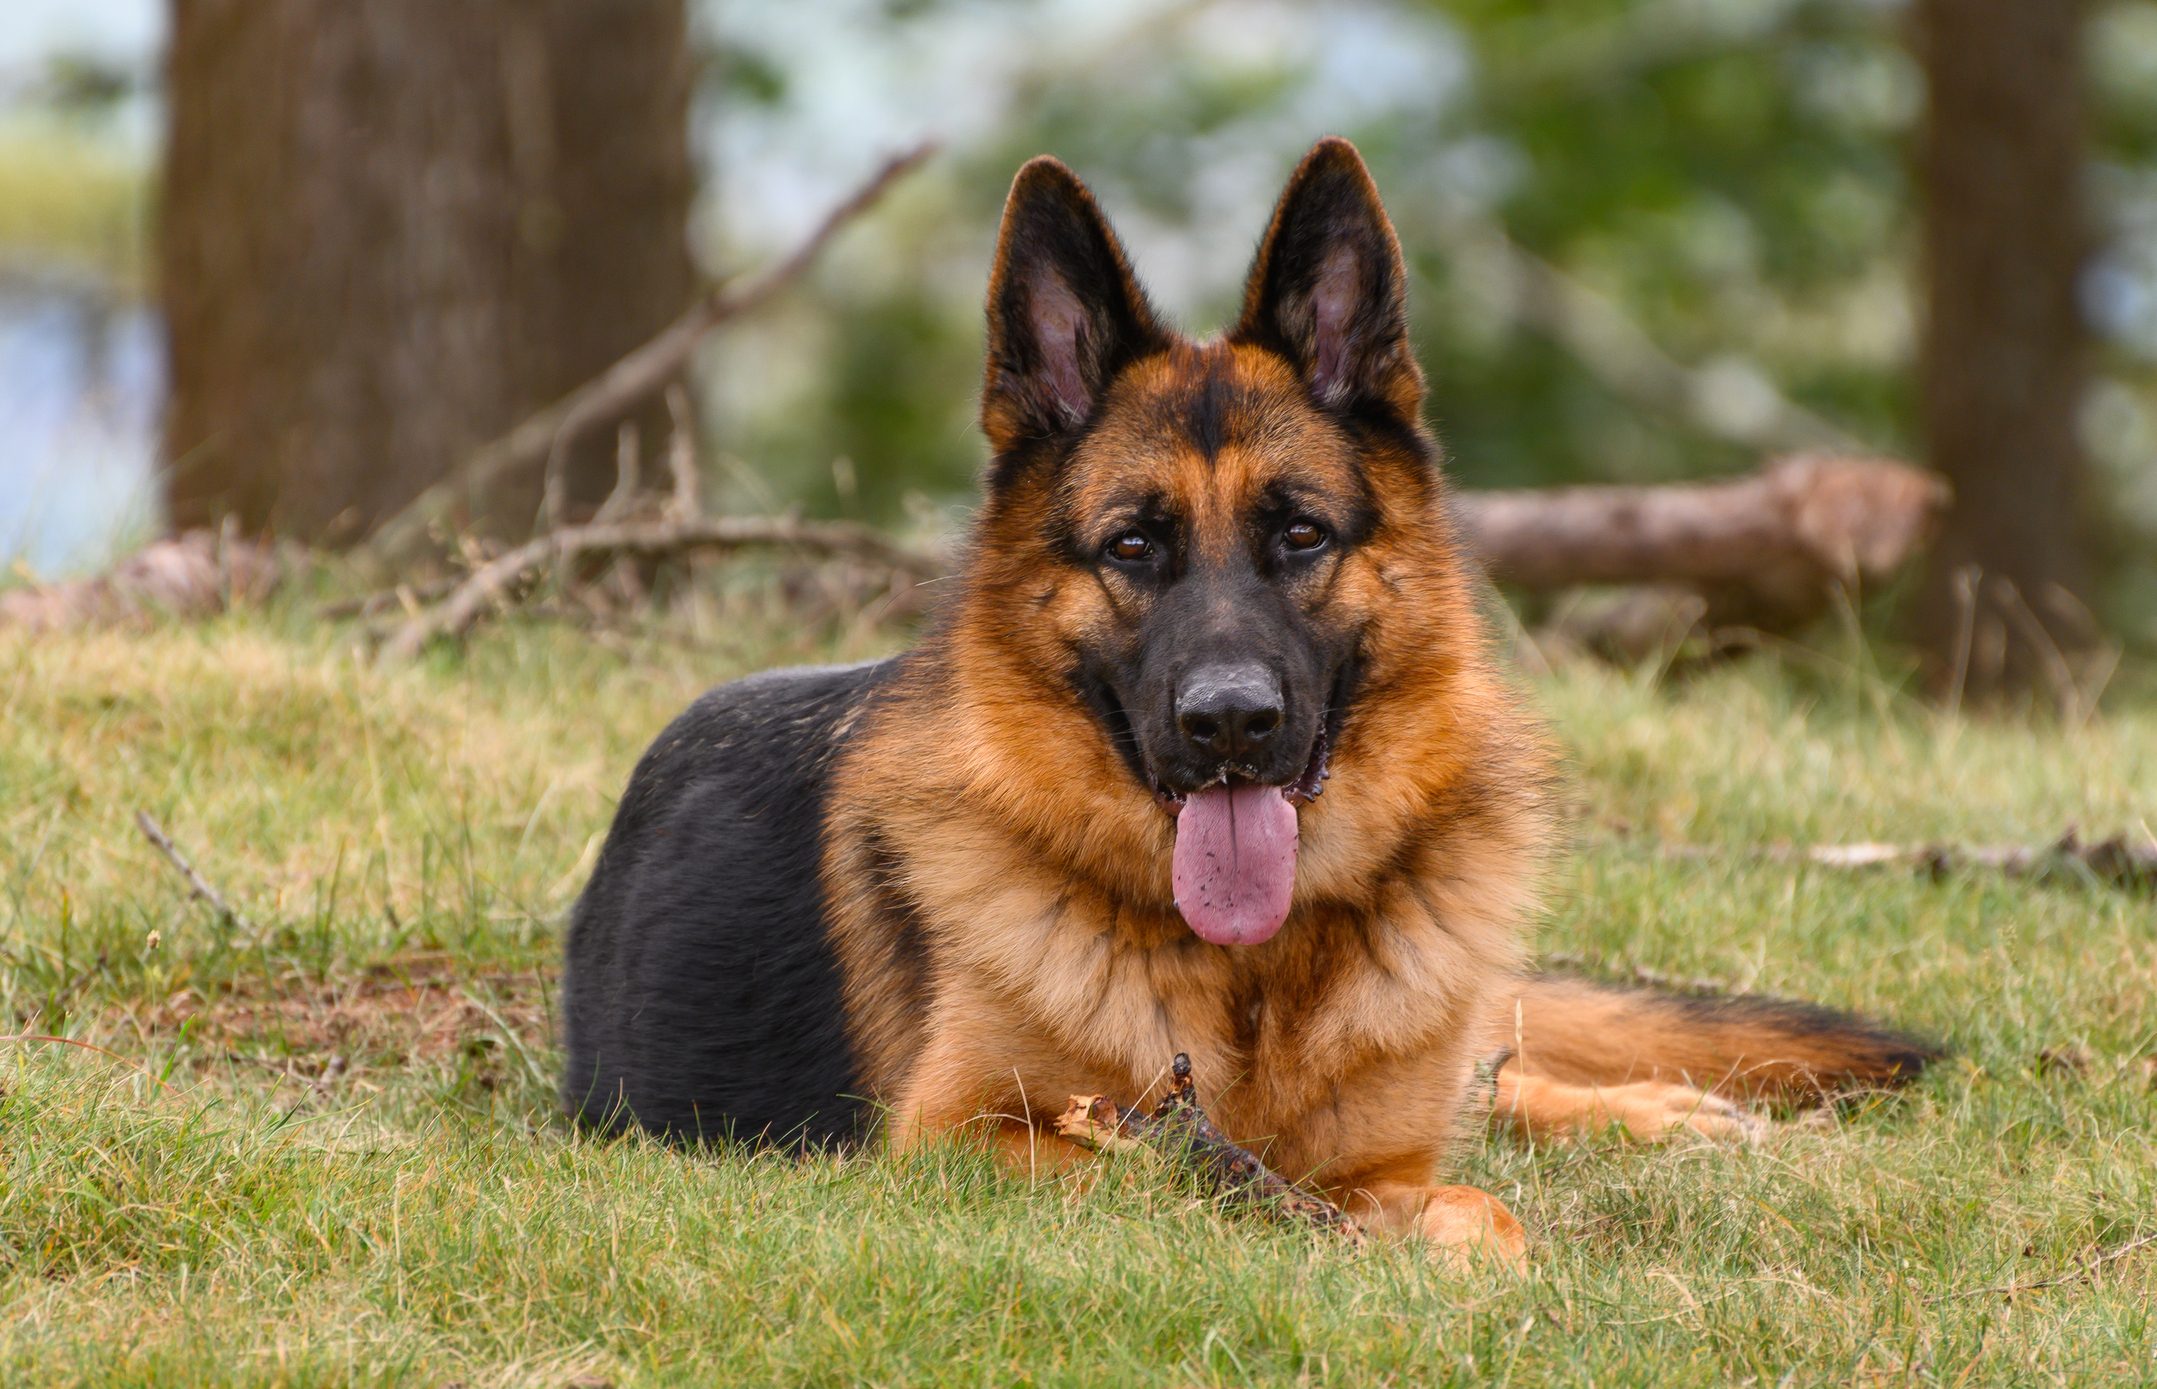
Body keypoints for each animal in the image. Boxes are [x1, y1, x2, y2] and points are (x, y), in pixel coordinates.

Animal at [560, 138, 1941, 1259]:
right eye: (1132, 546)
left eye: (1300, 535)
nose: (1230, 725)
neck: (1258, 977)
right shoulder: (958, 1148)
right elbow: (1184, 1178)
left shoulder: (1389, 1147)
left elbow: (1472, 1203)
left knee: (1497, 1069)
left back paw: (1660, 1113)